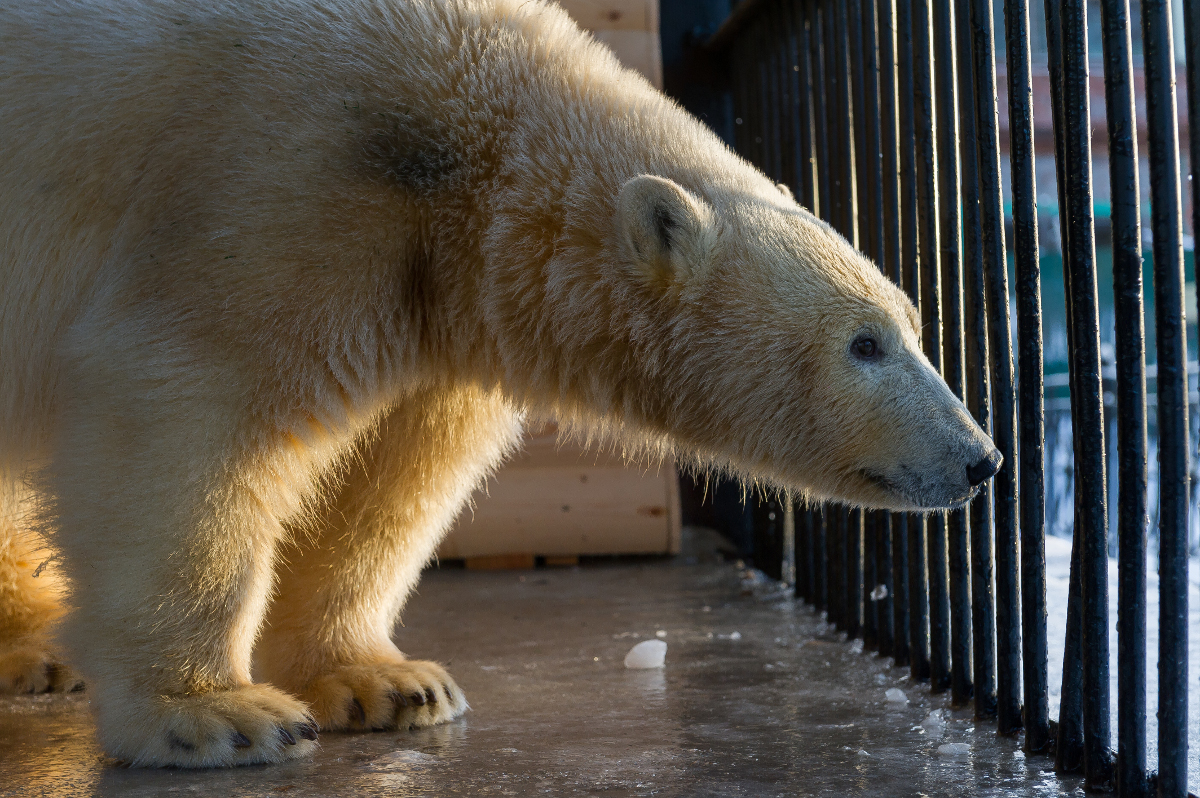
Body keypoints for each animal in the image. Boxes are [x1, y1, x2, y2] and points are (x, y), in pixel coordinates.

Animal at [0, 0, 998, 768]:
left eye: (913, 325)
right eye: (865, 343)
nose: (979, 459)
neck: (456, 145)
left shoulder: (432, 298)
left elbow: (388, 478)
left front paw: (390, 682)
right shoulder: (278, 186)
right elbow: (187, 405)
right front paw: (216, 714)